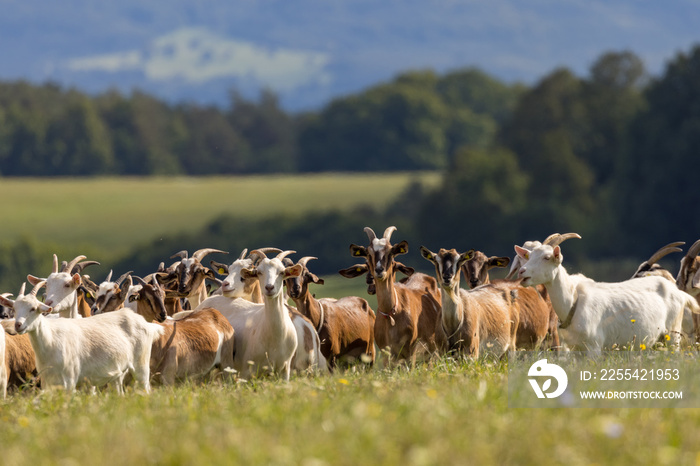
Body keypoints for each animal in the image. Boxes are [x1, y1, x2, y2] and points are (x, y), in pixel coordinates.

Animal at [0, 280, 165, 394]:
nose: (18, 325)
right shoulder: (47, 381)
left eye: (33, 308)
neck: (50, 339)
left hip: (141, 366)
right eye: (14, 308)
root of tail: (146, 323)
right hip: (117, 374)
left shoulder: (69, 380)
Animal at [338, 228, 440, 362]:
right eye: (368, 254)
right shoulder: (386, 353)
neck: (391, 313)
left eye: (390, 252)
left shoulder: (411, 351)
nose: (379, 270)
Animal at [512, 235, 696, 352]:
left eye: (547, 257)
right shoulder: (575, 350)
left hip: (673, 335)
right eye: (529, 256)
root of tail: (677, 291)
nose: (522, 272)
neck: (573, 303)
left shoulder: (594, 348)